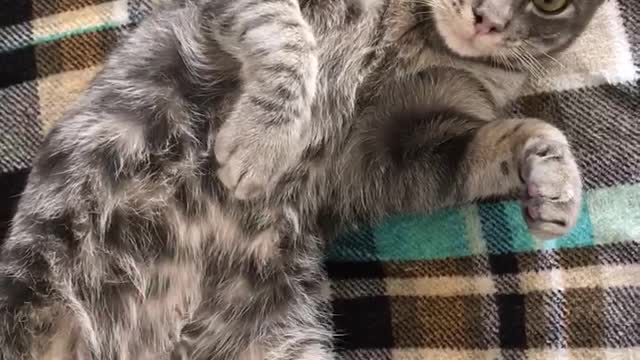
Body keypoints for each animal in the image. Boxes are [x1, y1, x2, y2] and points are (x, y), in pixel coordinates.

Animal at [0, 0, 604, 358]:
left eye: (551, 2)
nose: (487, 20)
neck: (416, 30)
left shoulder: (399, 149)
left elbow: (507, 137)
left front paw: (553, 174)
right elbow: (290, 36)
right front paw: (263, 140)